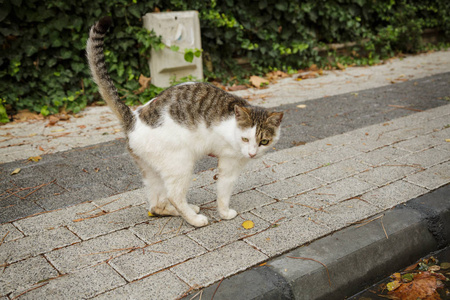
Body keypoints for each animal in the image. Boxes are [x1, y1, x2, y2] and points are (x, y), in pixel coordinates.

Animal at [86, 17, 284, 227]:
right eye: (245, 139)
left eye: (264, 141)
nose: (252, 153)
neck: (232, 127)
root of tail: (134, 118)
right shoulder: (229, 164)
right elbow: (223, 193)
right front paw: (225, 213)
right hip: (181, 163)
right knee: (174, 196)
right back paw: (194, 219)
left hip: (152, 171)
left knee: (155, 206)